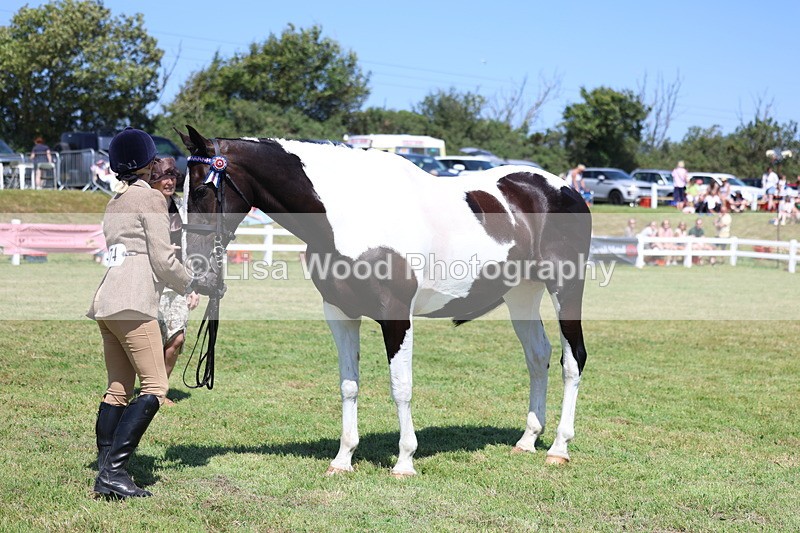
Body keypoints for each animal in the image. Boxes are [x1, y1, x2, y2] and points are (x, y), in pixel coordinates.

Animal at [177, 126, 591, 476]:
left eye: (200, 191)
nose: (195, 267)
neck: (351, 214)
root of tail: (566, 190)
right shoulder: (340, 314)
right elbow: (349, 385)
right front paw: (343, 459)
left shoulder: (395, 316)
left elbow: (400, 386)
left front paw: (405, 461)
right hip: (521, 294)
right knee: (538, 356)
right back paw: (528, 440)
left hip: (565, 287)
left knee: (573, 359)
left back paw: (559, 448)